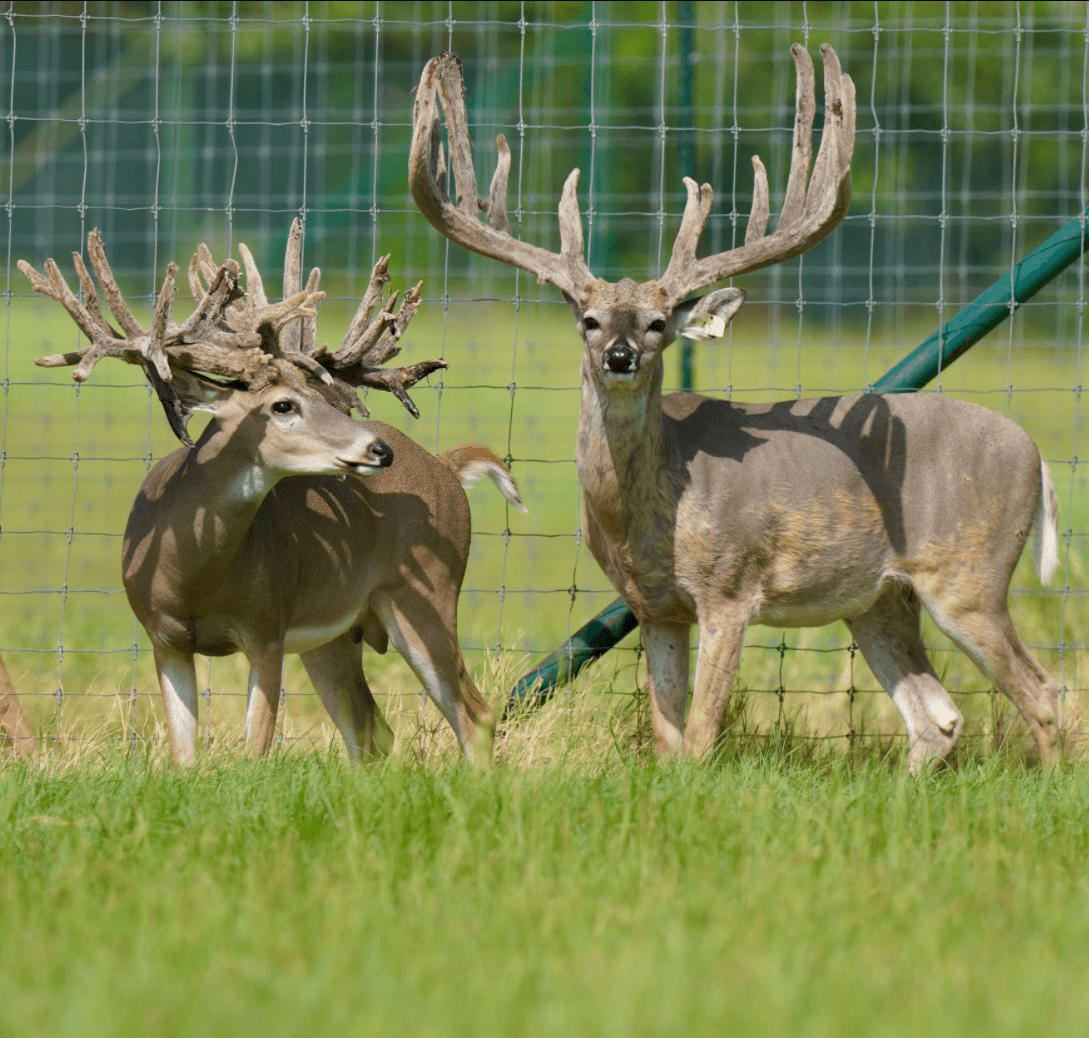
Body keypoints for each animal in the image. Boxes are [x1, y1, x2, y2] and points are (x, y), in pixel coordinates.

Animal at [20, 220, 525, 765]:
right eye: (283, 405)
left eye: (325, 397)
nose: (379, 450)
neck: (194, 578)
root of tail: (448, 467)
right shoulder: (164, 638)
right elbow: (184, 756)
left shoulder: (267, 629)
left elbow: (254, 750)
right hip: (335, 636)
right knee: (373, 731)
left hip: (427, 592)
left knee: (473, 715)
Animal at [409, 46, 1063, 771]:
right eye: (589, 320)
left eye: (658, 323)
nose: (619, 356)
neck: (643, 515)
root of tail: (1037, 457)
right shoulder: (655, 607)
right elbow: (665, 734)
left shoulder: (730, 589)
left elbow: (699, 735)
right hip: (879, 598)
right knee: (939, 717)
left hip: (968, 573)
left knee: (1043, 692)